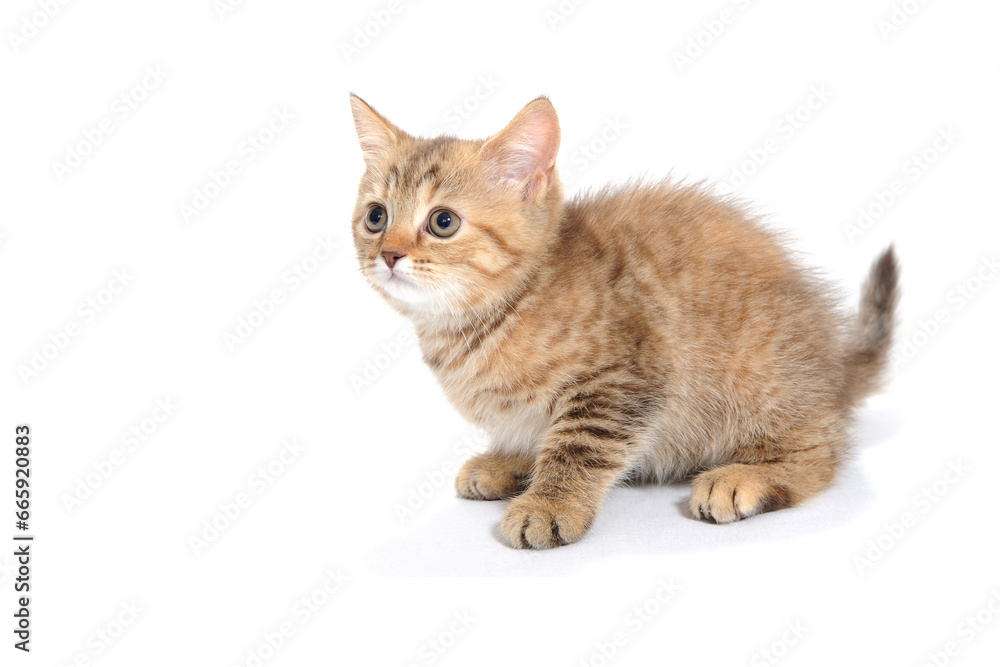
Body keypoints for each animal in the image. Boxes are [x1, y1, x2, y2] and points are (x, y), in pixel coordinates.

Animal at [350, 95, 900, 552]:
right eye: (376, 217)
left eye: (443, 222)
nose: (389, 255)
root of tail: (835, 364)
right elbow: (539, 434)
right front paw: (512, 461)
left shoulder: (623, 379)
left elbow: (577, 446)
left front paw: (550, 504)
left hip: (760, 375)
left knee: (823, 452)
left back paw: (745, 476)